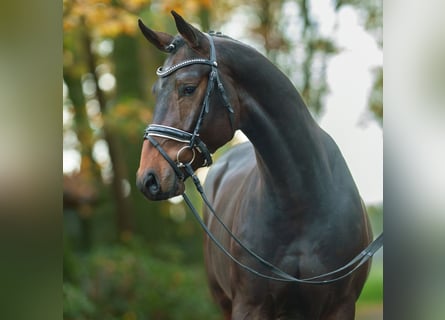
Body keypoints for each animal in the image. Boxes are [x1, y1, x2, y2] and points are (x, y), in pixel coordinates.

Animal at [137, 11, 372, 320]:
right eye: (155, 91)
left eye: (187, 88)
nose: (148, 178)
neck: (302, 200)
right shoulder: (249, 305)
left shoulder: (340, 307)